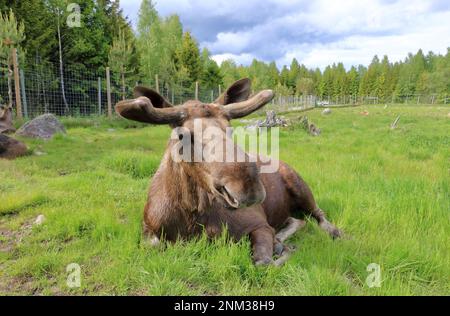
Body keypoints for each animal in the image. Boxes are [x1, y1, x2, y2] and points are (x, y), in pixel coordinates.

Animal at [116, 78, 342, 264]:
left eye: (230, 128)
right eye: (182, 135)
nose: (248, 187)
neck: (191, 212)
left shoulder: (259, 224)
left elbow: (263, 262)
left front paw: (280, 248)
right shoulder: (148, 230)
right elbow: (153, 244)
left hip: (299, 185)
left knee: (315, 215)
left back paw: (332, 231)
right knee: (297, 219)